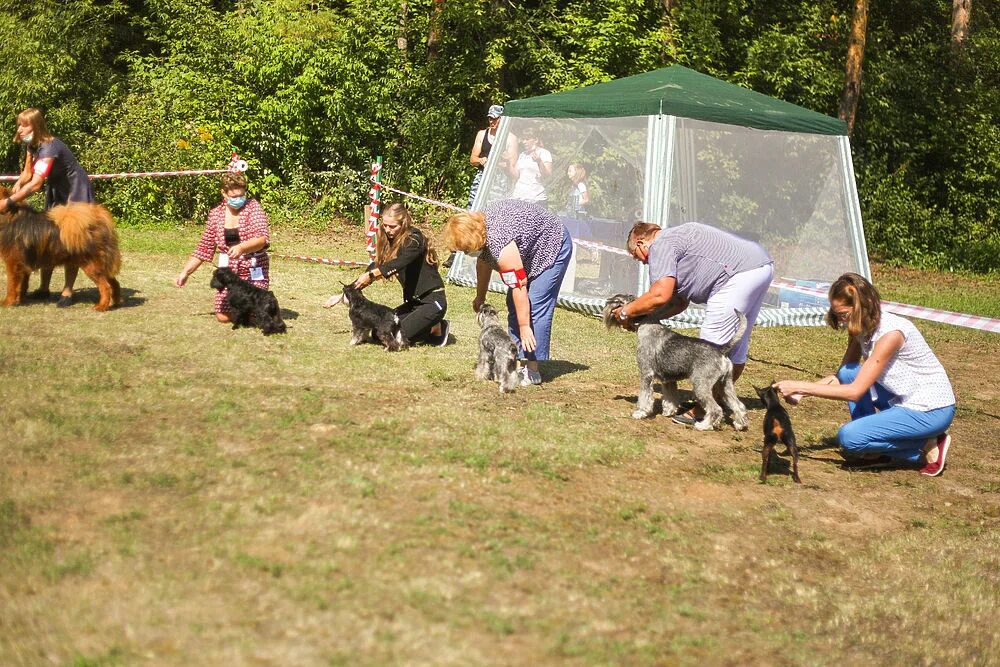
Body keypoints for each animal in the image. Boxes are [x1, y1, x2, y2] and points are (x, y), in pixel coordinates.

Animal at [600, 294, 752, 430]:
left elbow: (645, 396)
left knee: (716, 409)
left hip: (701, 385)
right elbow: (670, 397)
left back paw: (703, 425)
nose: (605, 305)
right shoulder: (668, 379)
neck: (647, 324)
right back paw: (740, 424)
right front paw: (669, 411)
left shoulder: (646, 373)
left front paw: (640, 413)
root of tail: (721, 349)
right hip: (726, 384)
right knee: (738, 405)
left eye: (616, 301)